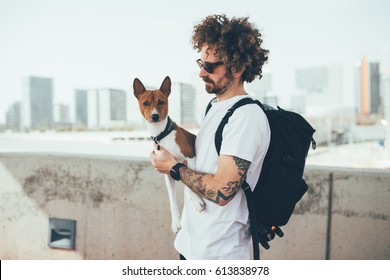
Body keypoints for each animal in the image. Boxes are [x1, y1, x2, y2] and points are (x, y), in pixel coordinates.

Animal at [133, 75, 206, 233]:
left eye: (161, 102)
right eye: (145, 103)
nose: (154, 116)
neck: (162, 134)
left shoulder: (190, 157)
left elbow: (189, 182)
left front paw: (196, 200)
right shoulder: (168, 172)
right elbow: (172, 199)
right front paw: (176, 222)